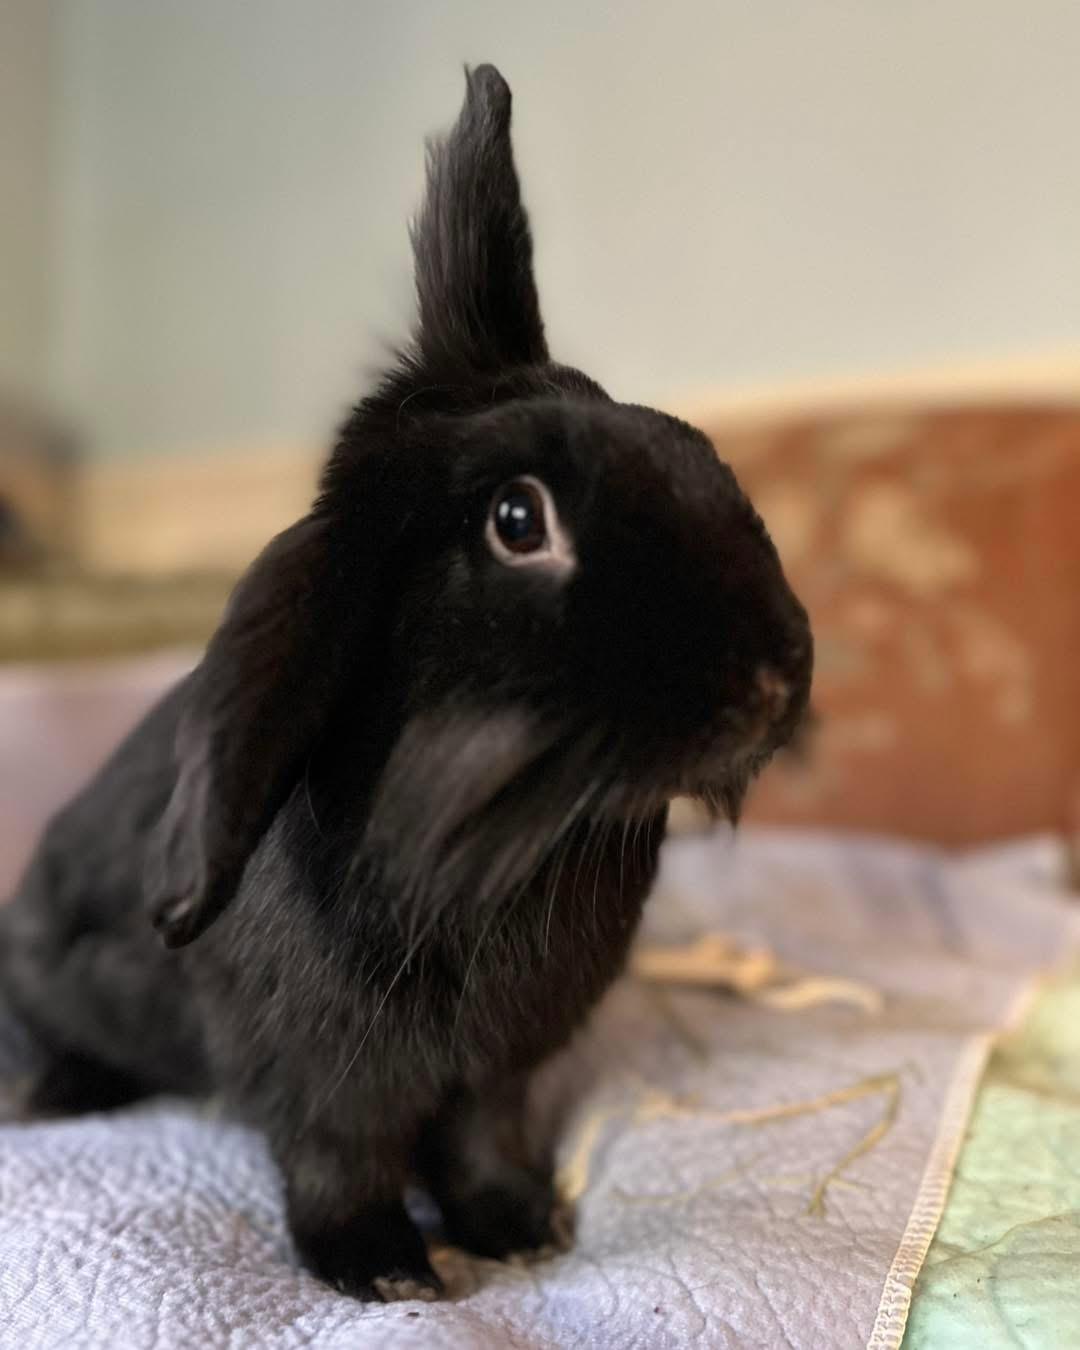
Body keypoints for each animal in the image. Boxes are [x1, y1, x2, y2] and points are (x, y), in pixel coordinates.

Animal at [0, 64, 812, 1300]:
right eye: (518, 521)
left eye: (700, 456)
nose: (772, 684)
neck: (506, 843)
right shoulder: (318, 1075)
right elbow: (340, 1159)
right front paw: (383, 1270)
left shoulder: (499, 1071)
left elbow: (481, 1139)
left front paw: (519, 1229)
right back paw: (54, 1091)